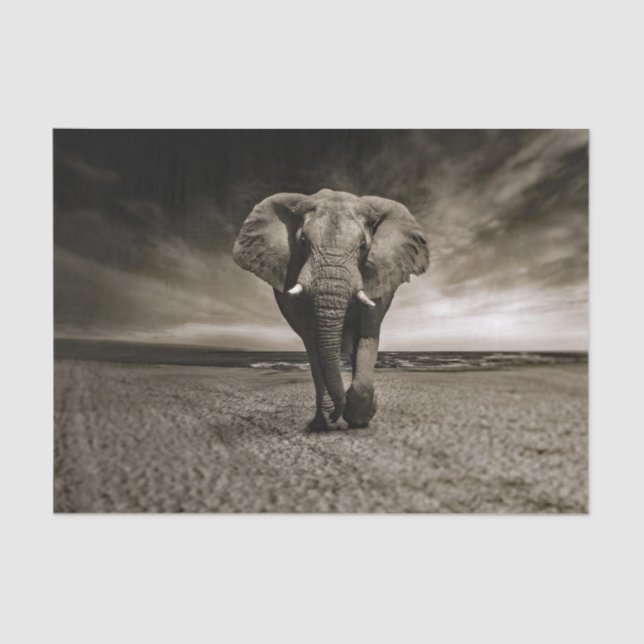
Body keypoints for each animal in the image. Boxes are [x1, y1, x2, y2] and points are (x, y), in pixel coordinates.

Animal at [232, 188, 429, 430]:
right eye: (303, 242)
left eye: (363, 246)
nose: (338, 414)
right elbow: (312, 339)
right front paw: (332, 418)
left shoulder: (379, 274)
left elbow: (368, 333)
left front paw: (359, 417)